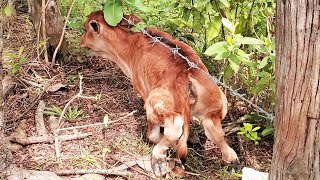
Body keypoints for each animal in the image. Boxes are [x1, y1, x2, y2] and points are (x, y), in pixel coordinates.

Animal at [80, 10, 238, 176]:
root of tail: (186, 74)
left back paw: (159, 158)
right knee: (214, 129)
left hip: (155, 103)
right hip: (216, 107)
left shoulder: (143, 91)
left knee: (174, 126)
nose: (80, 40)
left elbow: (153, 134)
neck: (130, 45)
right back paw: (231, 157)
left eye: (85, 30)